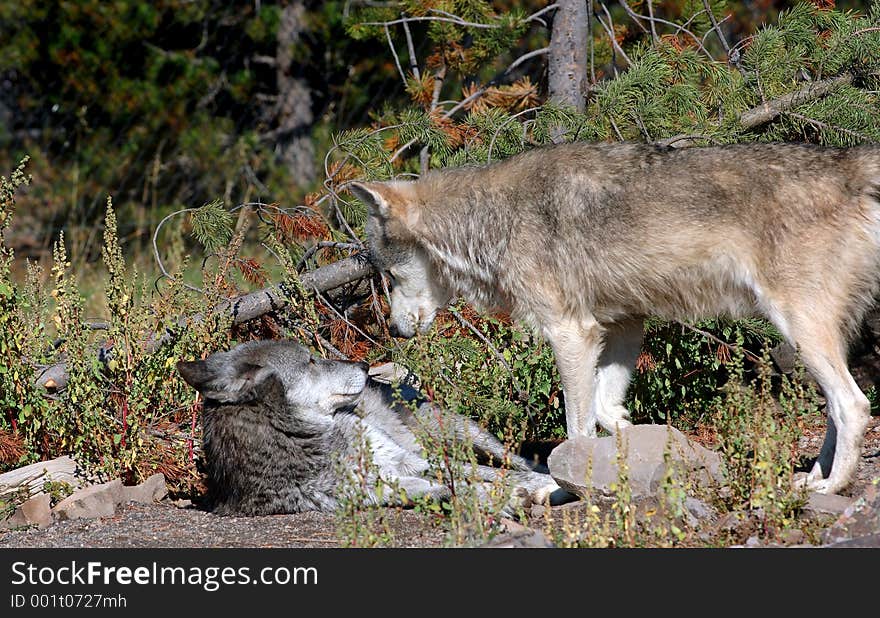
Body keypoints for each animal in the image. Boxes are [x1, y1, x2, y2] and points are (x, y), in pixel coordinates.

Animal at [178, 340, 560, 512]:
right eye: (312, 361)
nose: (364, 366)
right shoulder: (376, 488)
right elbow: (450, 489)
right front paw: (505, 497)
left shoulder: (409, 461)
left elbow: (489, 474)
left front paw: (538, 487)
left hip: (459, 435)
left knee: (514, 461)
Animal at [354, 142, 880, 494]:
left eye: (387, 275)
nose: (395, 331)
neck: (491, 220)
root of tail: (851, 162)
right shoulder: (624, 325)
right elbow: (608, 411)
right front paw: (647, 449)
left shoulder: (571, 333)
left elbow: (576, 429)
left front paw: (564, 488)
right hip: (814, 338)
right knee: (835, 408)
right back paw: (815, 475)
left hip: (799, 328)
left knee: (854, 405)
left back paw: (831, 487)